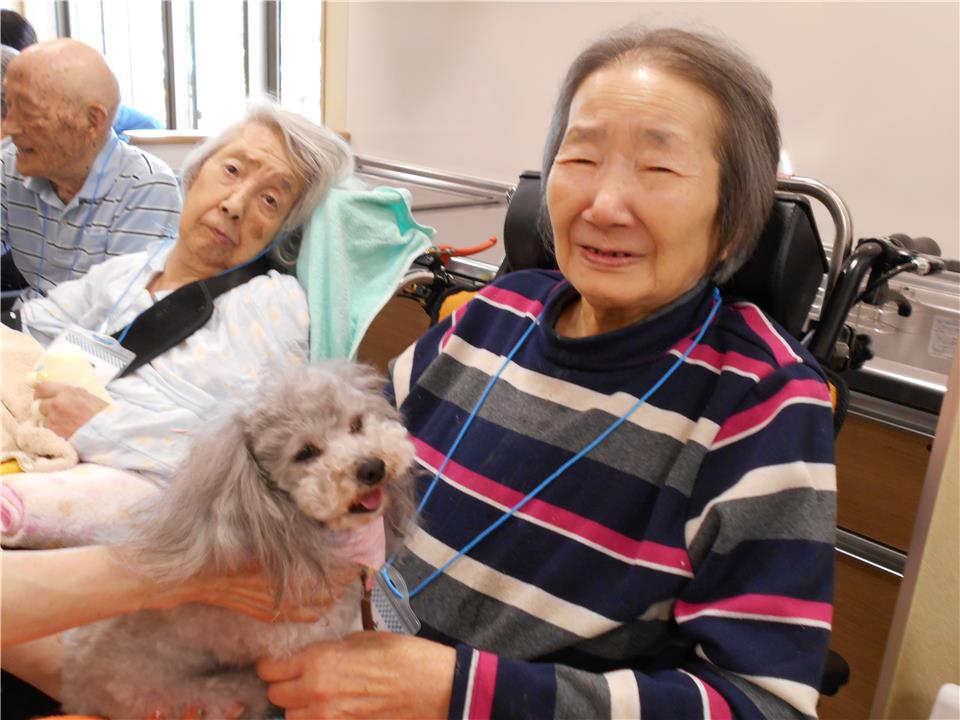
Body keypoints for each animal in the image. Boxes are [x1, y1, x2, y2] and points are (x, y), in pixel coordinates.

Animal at [60, 362, 416, 719]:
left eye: (357, 424)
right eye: (305, 453)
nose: (372, 467)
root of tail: (75, 690)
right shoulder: (295, 644)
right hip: (205, 695)